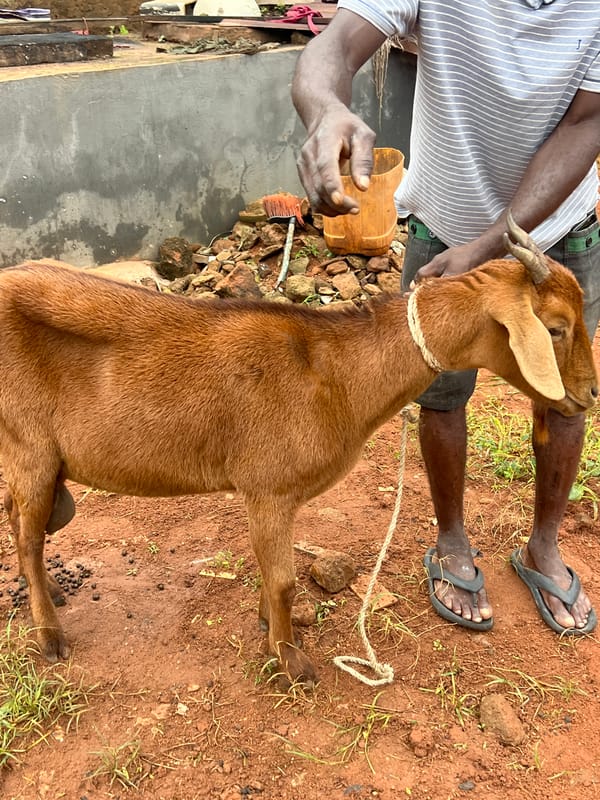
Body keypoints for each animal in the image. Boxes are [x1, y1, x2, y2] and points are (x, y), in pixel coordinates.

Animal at [0, 214, 597, 685]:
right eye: (555, 328)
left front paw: (271, 629)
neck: (334, 370)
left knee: (22, 522)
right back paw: (49, 634)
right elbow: (284, 581)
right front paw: (290, 661)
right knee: (26, 536)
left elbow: (272, 577)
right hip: (30, 445)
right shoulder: (268, 489)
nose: (590, 392)